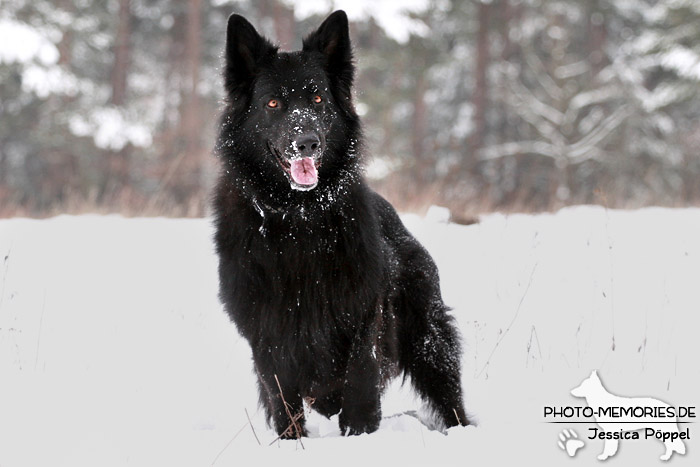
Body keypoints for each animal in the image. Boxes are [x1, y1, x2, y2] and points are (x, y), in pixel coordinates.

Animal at [211, 10, 468, 438]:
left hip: (429, 343)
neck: (299, 219)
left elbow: (361, 377)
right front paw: (291, 441)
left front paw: (360, 431)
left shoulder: (364, 313)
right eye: (273, 103)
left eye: (317, 99)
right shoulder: (267, 331)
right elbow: (283, 397)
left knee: (448, 395)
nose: (307, 142)